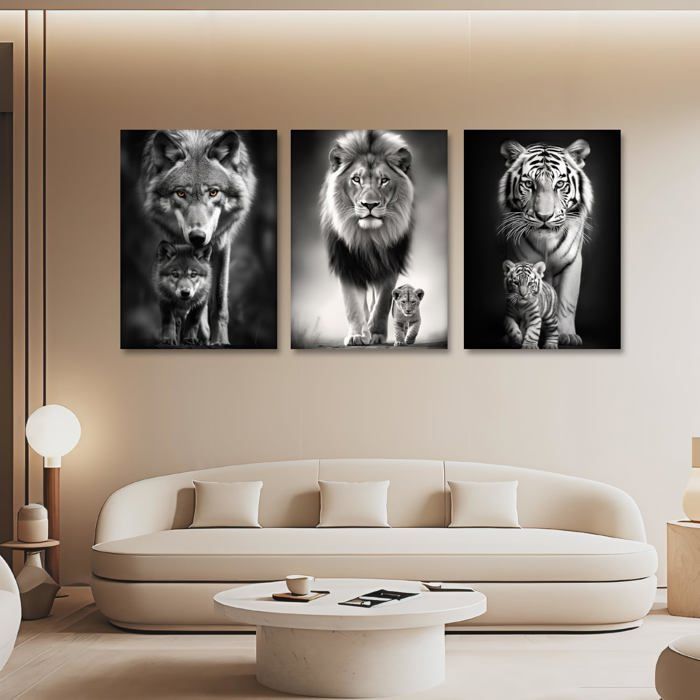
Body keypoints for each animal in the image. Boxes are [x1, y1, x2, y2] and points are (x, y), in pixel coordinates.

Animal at [320, 130, 415, 346]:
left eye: (384, 180)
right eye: (356, 179)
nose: (369, 205)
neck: (369, 237)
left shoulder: (390, 264)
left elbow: (382, 303)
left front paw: (377, 334)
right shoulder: (347, 265)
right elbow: (353, 306)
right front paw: (357, 335)